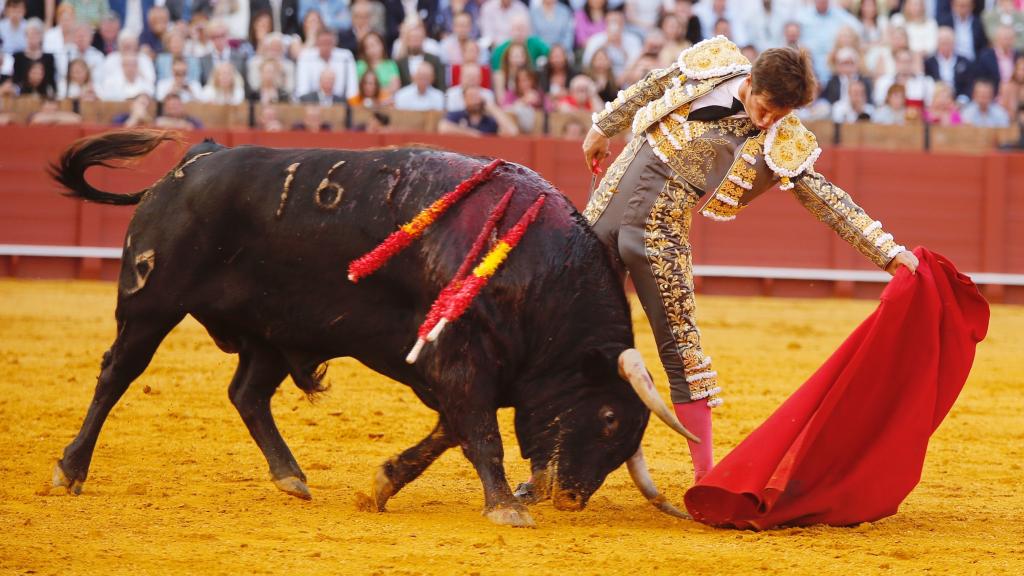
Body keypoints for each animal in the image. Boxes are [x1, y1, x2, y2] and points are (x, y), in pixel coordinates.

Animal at [46, 130, 688, 524]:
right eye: (609, 419)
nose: (570, 498)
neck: (538, 270)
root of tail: (192, 162)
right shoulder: (460, 359)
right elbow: (480, 434)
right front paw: (506, 506)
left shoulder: (459, 370)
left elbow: (449, 432)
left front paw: (382, 484)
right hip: (152, 303)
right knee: (117, 374)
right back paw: (69, 471)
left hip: (276, 329)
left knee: (247, 394)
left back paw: (291, 477)